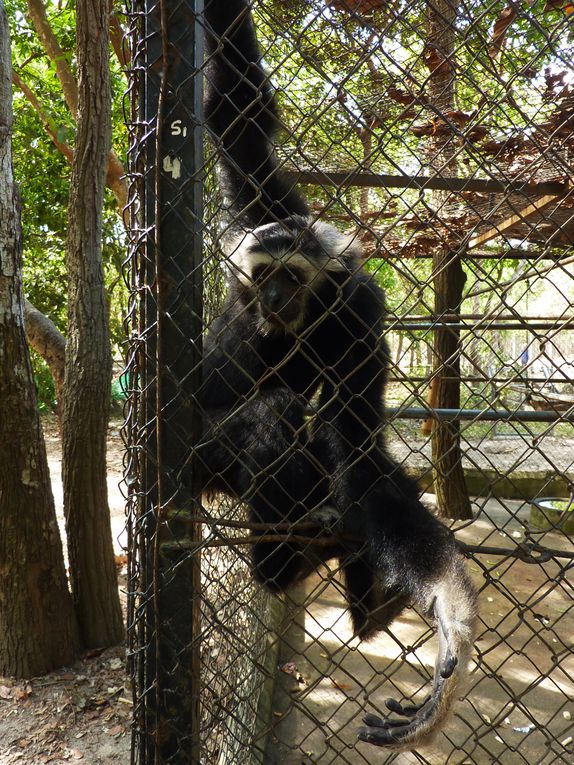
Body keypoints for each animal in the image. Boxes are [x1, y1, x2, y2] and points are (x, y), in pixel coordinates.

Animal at [197, 0, 476, 748]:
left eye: (292, 277)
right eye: (264, 273)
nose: (270, 297)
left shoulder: (360, 321)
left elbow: (362, 454)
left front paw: (449, 610)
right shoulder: (266, 207)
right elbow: (237, 112)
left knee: (334, 453)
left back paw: (358, 596)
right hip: (189, 453)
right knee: (273, 417)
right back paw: (276, 567)